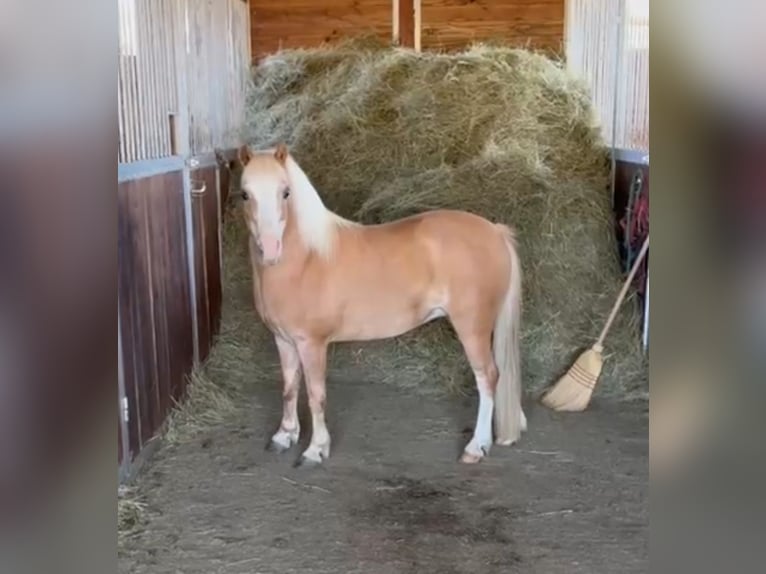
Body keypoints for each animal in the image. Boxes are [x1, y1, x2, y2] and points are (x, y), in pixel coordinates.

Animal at [238, 143, 525, 466]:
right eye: (245, 194)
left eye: (285, 192)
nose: (270, 249)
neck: (308, 259)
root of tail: (495, 231)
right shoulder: (284, 340)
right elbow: (289, 388)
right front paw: (284, 436)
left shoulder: (312, 344)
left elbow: (315, 395)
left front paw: (315, 450)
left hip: (472, 328)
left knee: (487, 377)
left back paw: (476, 447)